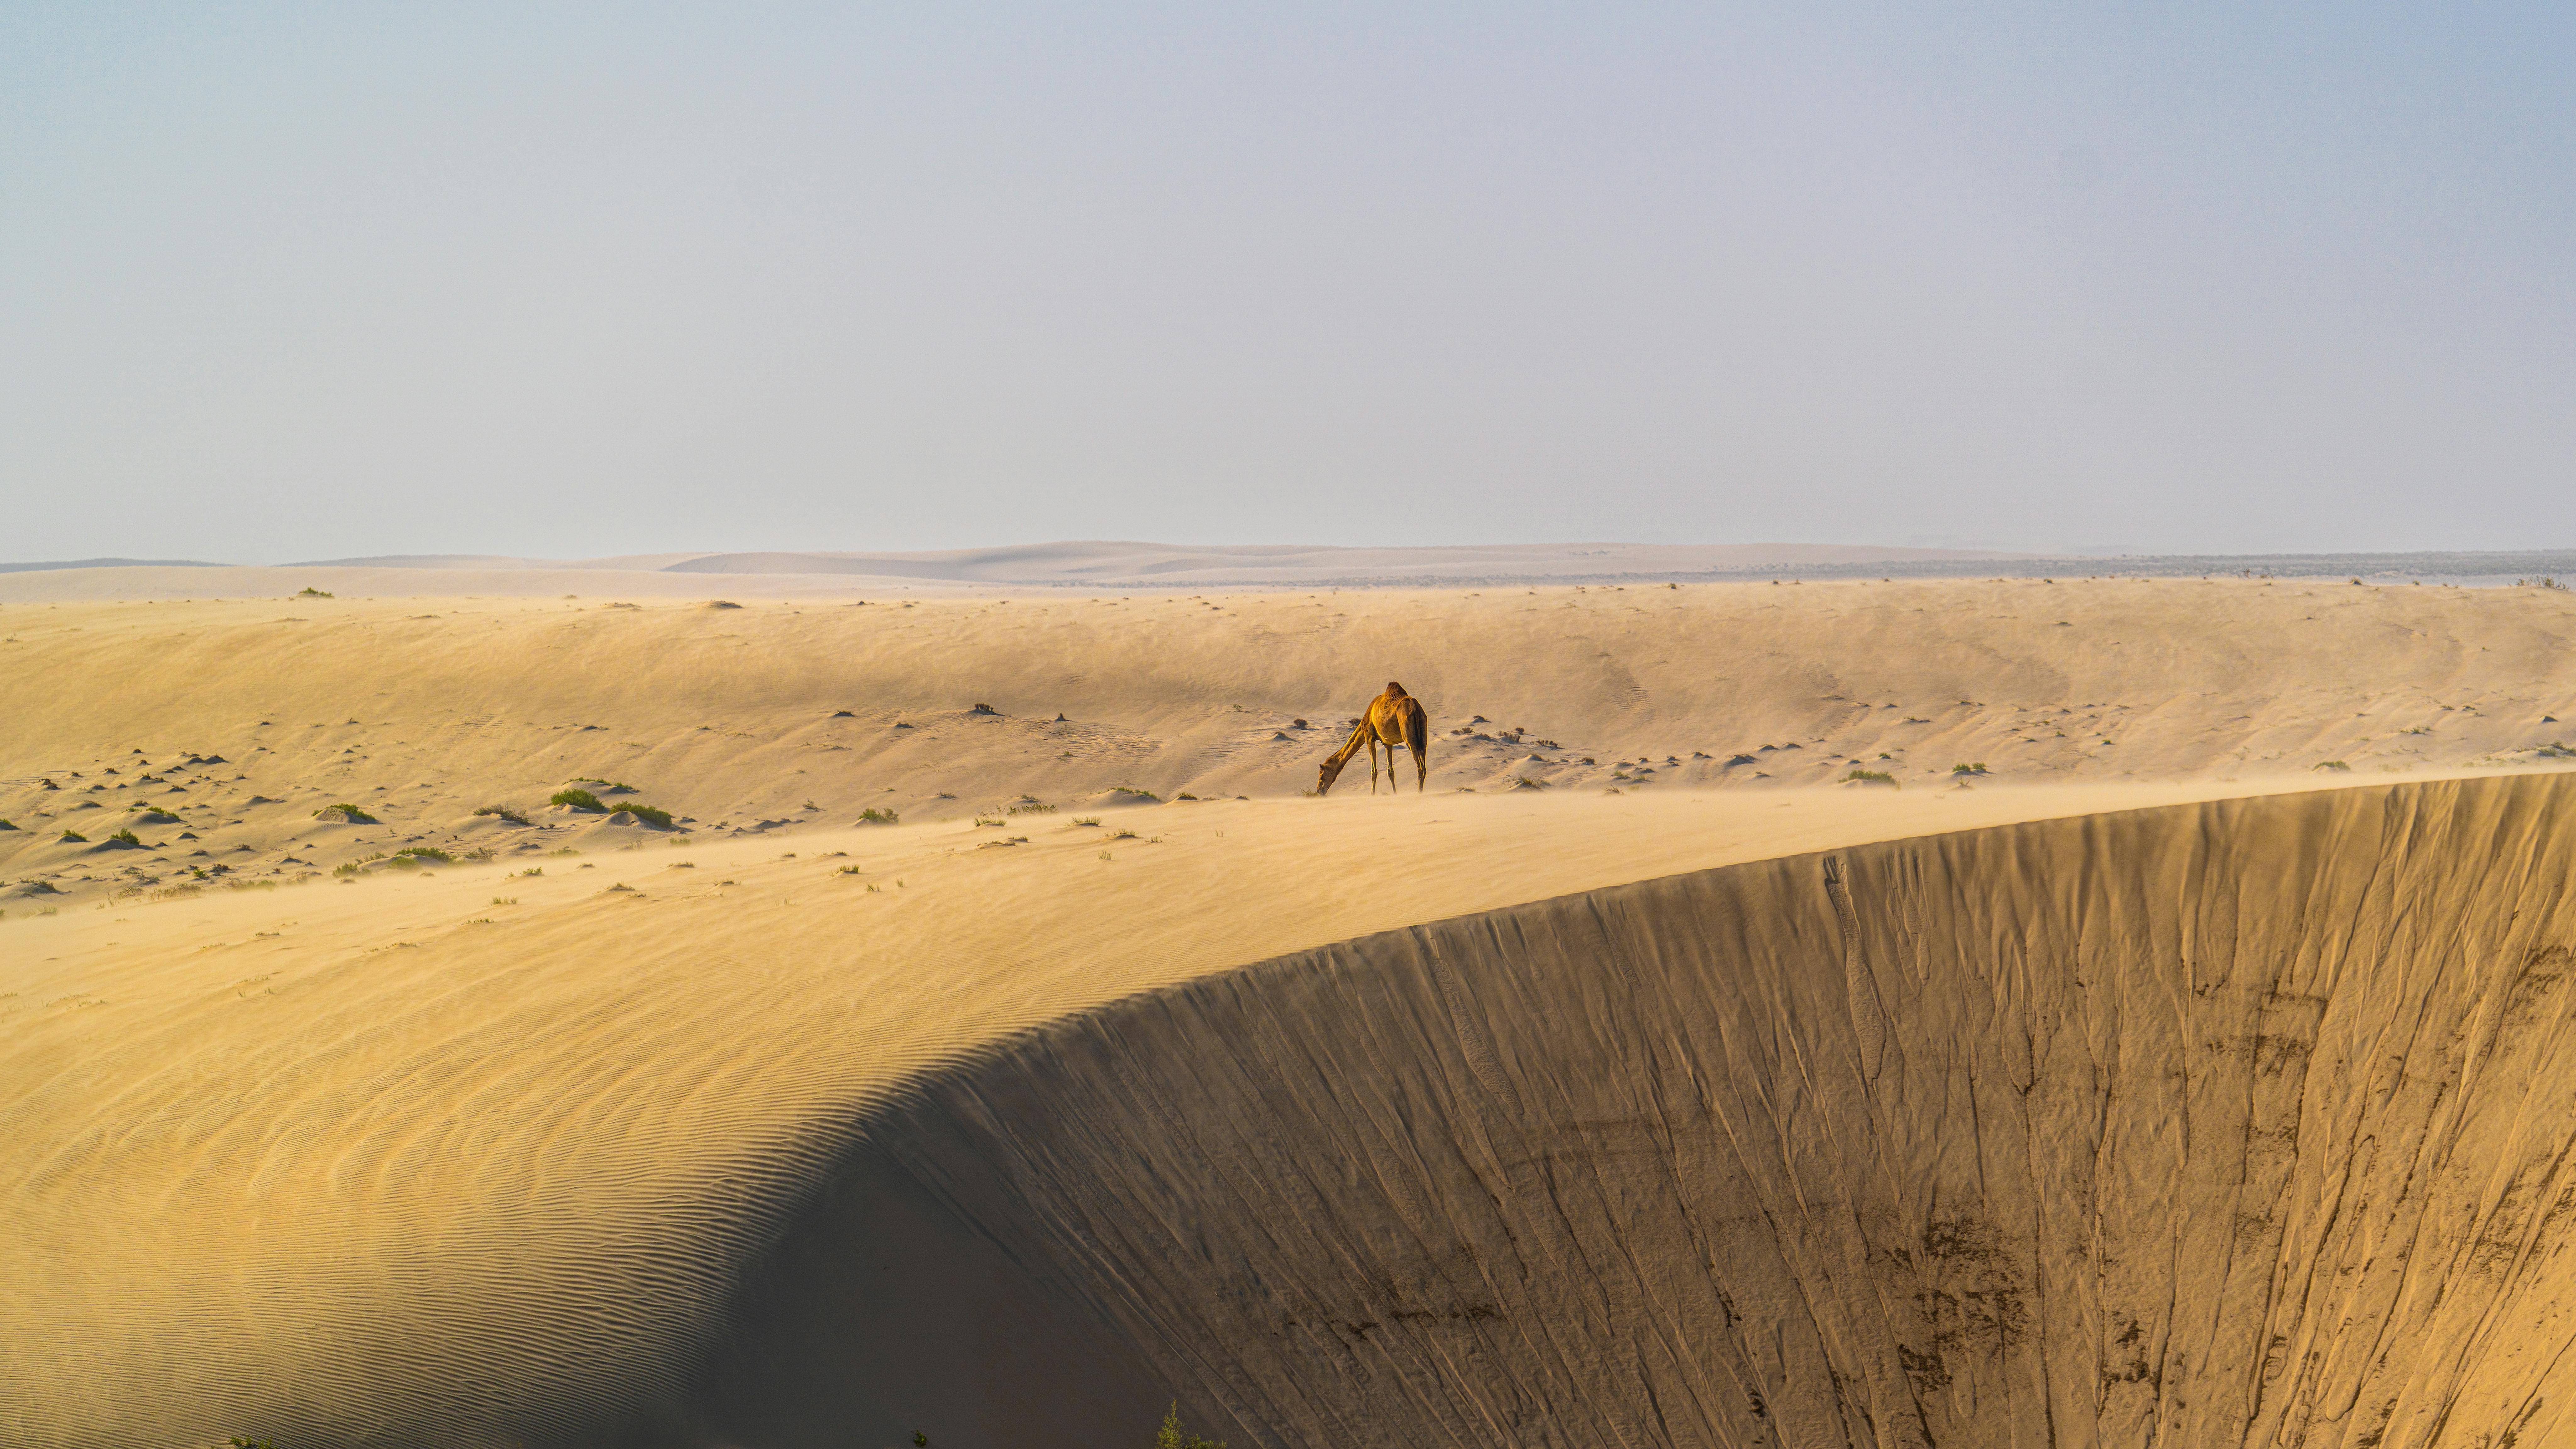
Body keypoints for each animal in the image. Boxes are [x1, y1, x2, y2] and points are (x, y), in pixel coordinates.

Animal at [1317, 681, 1429, 795]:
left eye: (1322, 775)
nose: (1319, 790)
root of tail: (1416, 710)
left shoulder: (1369, 737)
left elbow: (1374, 772)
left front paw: (1372, 794)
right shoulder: (1388, 743)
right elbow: (1390, 772)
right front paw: (1395, 794)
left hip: (1409, 736)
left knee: (1420, 767)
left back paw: (1419, 792)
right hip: (1423, 733)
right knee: (1424, 764)